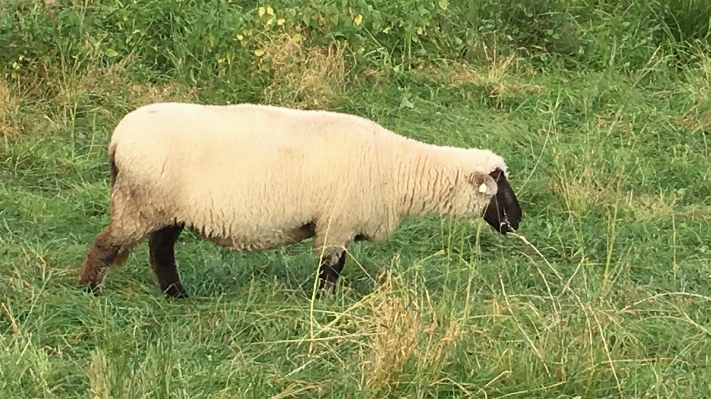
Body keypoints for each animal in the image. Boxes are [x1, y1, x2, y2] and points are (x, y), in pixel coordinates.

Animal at [78, 101, 524, 298]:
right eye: (500, 186)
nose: (517, 221)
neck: (400, 169)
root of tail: (118, 137)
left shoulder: (338, 223)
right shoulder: (337, 222)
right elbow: (330, 269)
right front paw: (325, 304)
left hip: (164, 209)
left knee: (160, 251)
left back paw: (177, 295)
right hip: (141, 202)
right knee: (106, 244)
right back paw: (89, 291)